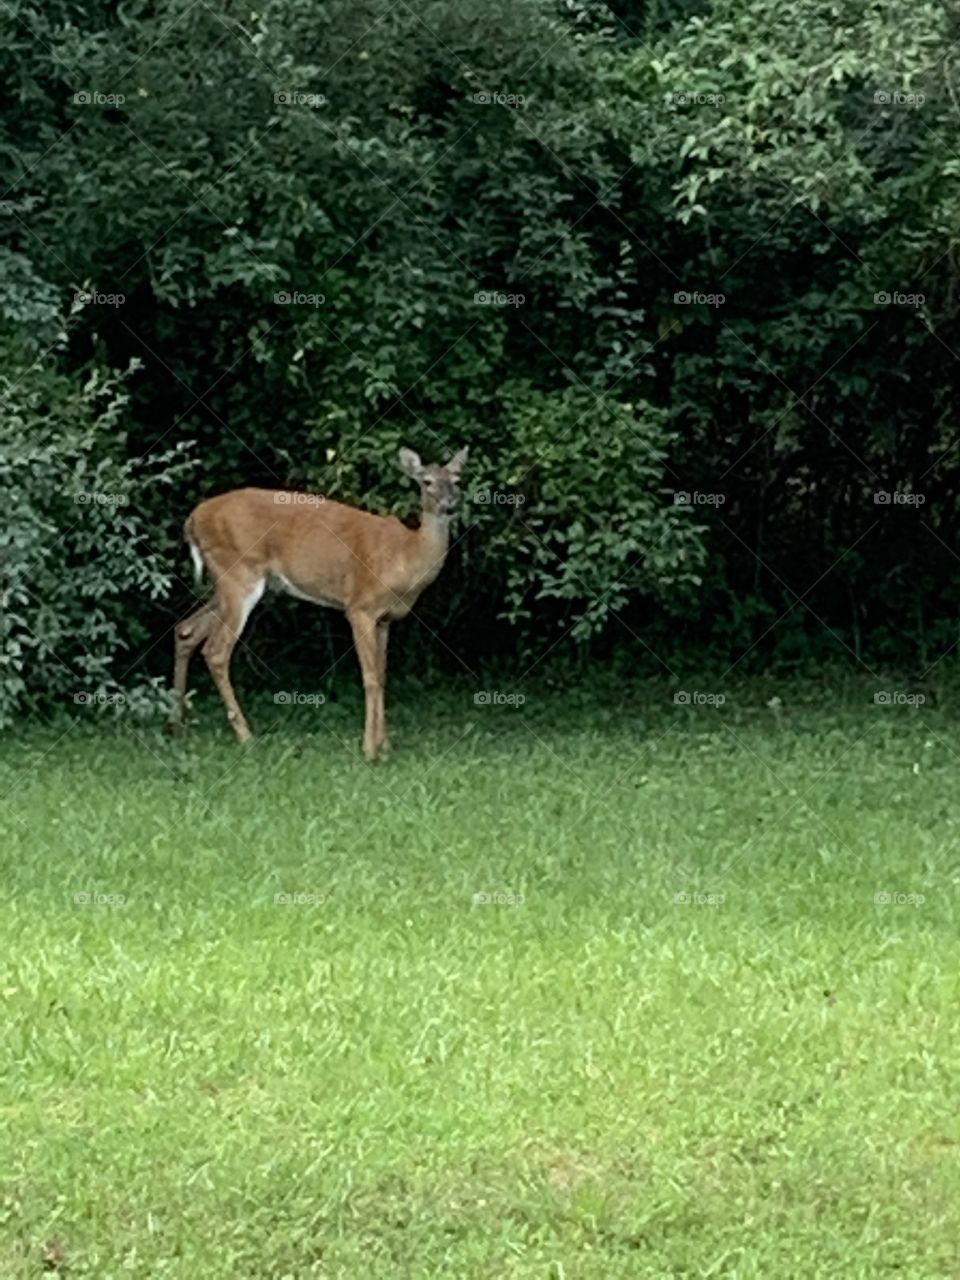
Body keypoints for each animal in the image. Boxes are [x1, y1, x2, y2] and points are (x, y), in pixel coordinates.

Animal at [167, 446, 468, 760]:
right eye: (427, 482)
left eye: (457, 480)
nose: (450, 506)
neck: (406, 556)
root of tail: (193, 519)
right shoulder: (359, 606)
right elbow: (370, 677)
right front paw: (369, 750)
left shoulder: (385, 619)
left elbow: (382, 675)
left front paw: (385, 746)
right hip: (238, 573)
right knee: (215, 650)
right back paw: (245, 735)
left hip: (226, 583)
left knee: (186, 629)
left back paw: (176, 726)